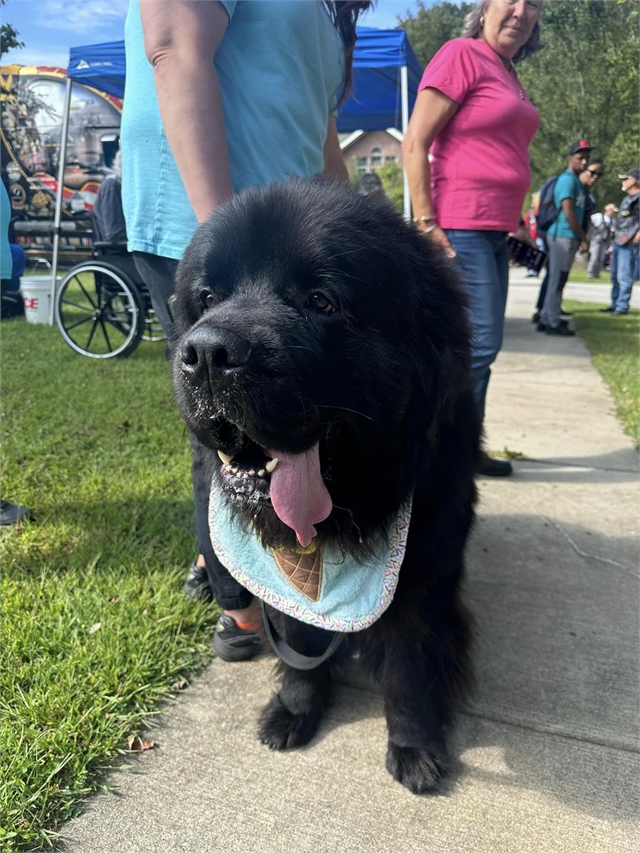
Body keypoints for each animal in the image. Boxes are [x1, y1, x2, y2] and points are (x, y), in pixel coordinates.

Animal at [171, 176, 480, 796]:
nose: (207, 354)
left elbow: (410, 669)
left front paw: (415, 748)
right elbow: (300, 645)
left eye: (321, 301)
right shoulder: (288, 588)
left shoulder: (423, 581)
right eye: (208, 297)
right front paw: (294, 710)